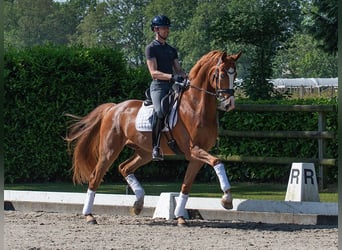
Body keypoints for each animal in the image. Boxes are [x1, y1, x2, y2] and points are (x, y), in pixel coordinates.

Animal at [65, 49, 240, 226]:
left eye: (235, 74)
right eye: (222, 74)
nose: (229, 104)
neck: (195, 106)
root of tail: (113, 108)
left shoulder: (196, 156)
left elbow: (186, 186)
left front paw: (180, 217)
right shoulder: (192, 149)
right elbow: (217, 161)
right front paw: (227, 199)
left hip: (145, 152)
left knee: (124, 168)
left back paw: (138, 204)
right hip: (109, 151)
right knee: (96, 177)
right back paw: (89, 216)